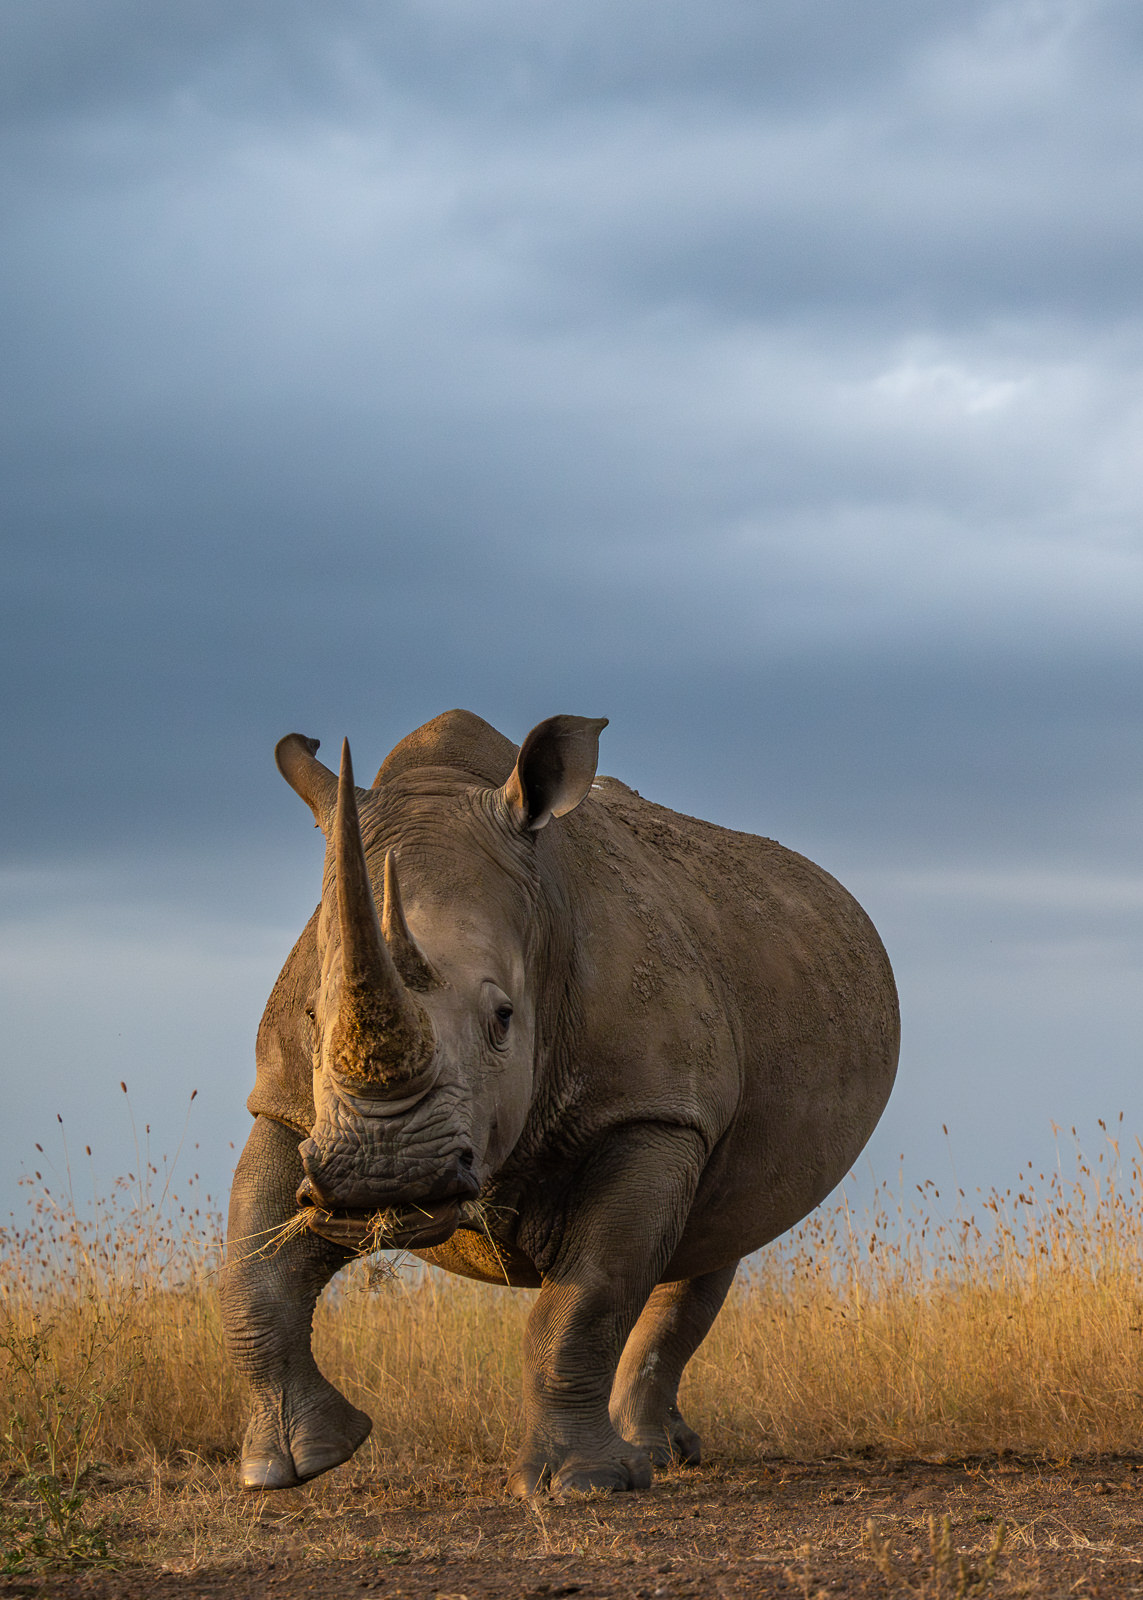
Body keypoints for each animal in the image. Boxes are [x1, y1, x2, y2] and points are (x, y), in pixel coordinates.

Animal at [220, 710, 898, 1497]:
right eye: (309, 1016)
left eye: (504, 1018)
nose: (385, 1177)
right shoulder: (288, 1107)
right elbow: (250, 1270)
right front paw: (289, 1467)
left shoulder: (651, 1108)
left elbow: (588, 1296)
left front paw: (584, 1484)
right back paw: (659, 1454)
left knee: (714, 1234)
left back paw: (654, 1456)